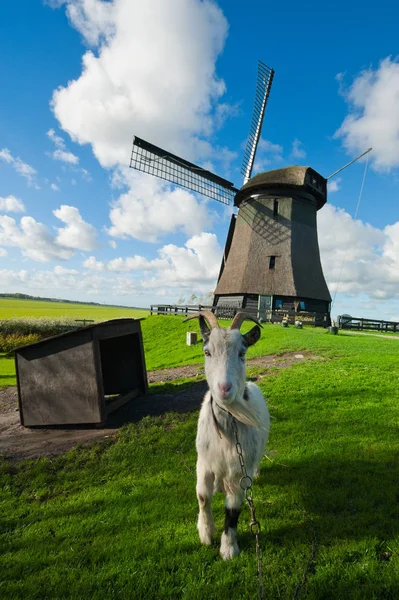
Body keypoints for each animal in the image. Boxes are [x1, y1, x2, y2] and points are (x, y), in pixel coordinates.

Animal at [184, 312, 270, 560]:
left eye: (242, 352)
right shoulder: (203, 461)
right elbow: (202, 496)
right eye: (206, 352)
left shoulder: (239, 471)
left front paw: (228, 547)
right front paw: (205, 533)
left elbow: (233, 509)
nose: (224, 388)